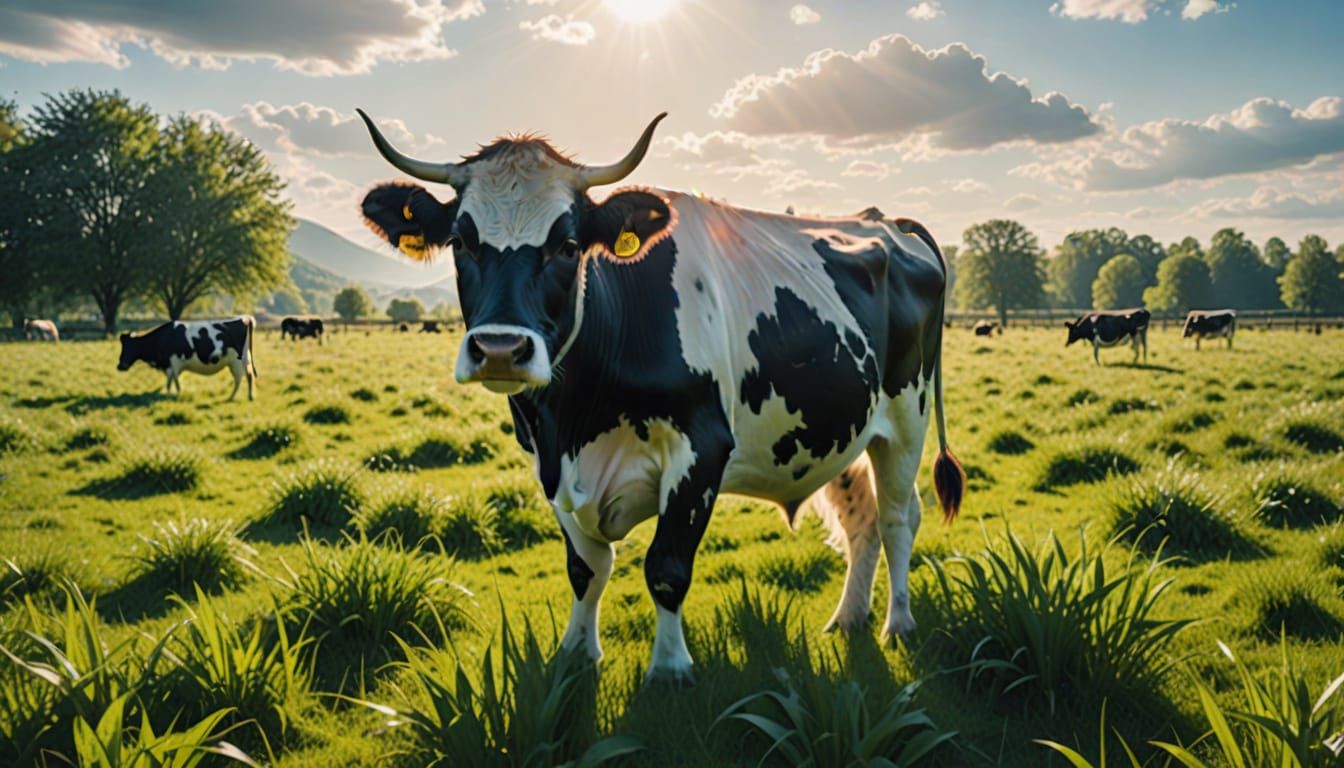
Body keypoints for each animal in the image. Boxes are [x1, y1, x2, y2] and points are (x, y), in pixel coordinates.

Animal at [117, 316, 257, 400]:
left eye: (128, 346)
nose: (120, 366)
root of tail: (243, 318)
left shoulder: (172, 363)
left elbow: (171, 380)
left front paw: (173, 393)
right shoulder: (172, 365)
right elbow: (173, 380)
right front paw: (174, 393)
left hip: (237, 361)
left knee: (241, 378)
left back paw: (233, 397)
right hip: (244, 360)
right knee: (248, 375)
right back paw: (247, 396)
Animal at [356, 110, 964, 684]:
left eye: (568, 245)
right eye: (461, 242)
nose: (501, 349)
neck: (576, 419)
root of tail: (883, 221)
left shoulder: (702, 450)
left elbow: (666, 567)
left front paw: (669, 668)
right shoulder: (547, 463)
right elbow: (586, 569)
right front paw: (577, 654)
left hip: (906, 419)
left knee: (897, 517)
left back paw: (897, 623)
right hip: (840, 426)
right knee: (862, 520)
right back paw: (849, 618)